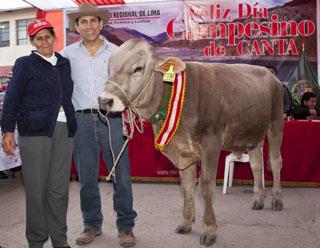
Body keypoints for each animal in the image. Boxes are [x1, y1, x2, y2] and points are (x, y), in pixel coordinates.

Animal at [99, 38, 284, 246]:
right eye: (109, 68)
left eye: (138, 68)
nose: (104, 100)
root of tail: (269, 73)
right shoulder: (182, 151)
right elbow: (187, 187)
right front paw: (186, 223)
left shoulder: (211, 146)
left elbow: (206, 187)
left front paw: (209, 230)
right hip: (253, 133)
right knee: (256, 164)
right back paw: (258, 200)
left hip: (276, 123)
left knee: (275, 161)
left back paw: (276, 200)